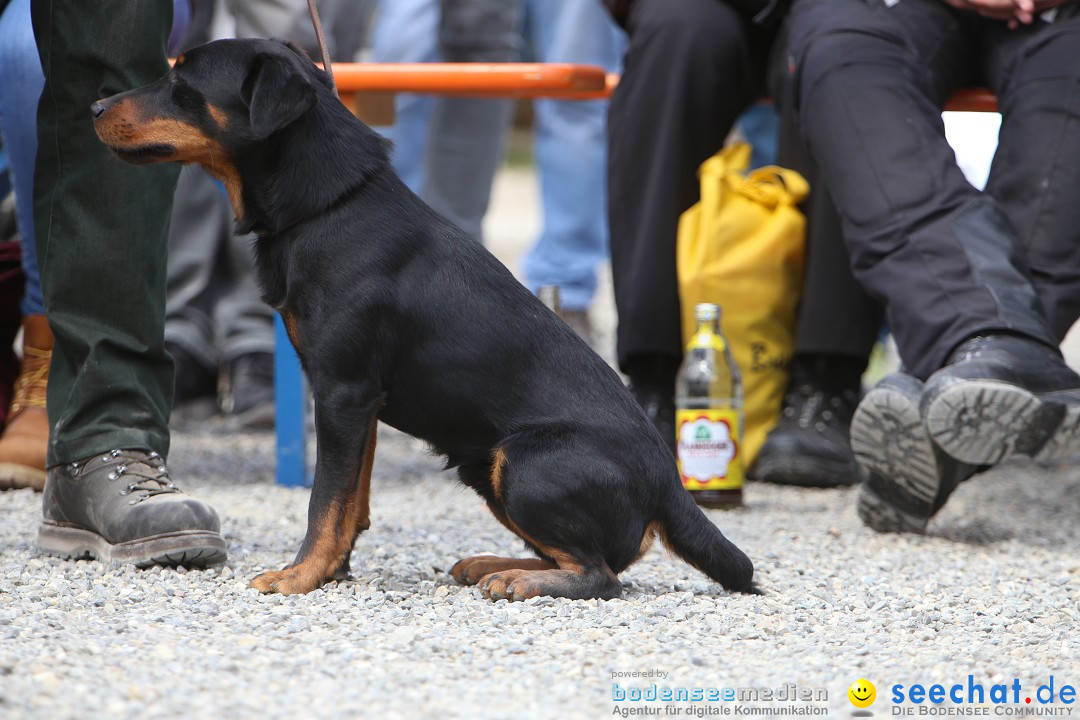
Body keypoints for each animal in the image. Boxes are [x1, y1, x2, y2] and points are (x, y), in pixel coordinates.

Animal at [90, 39, 751, 604]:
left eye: (182, 84)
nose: (93, 106)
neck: (331, 204)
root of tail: (667, 479)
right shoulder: (360, 403)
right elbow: (351, 499)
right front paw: (331, 571)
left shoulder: (342, 392)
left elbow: (323, 501)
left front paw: (299, 575)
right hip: (489, 469)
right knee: (593, 558)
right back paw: (495, 565)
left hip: (523, 462)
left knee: (602, 574)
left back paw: (519, 580)